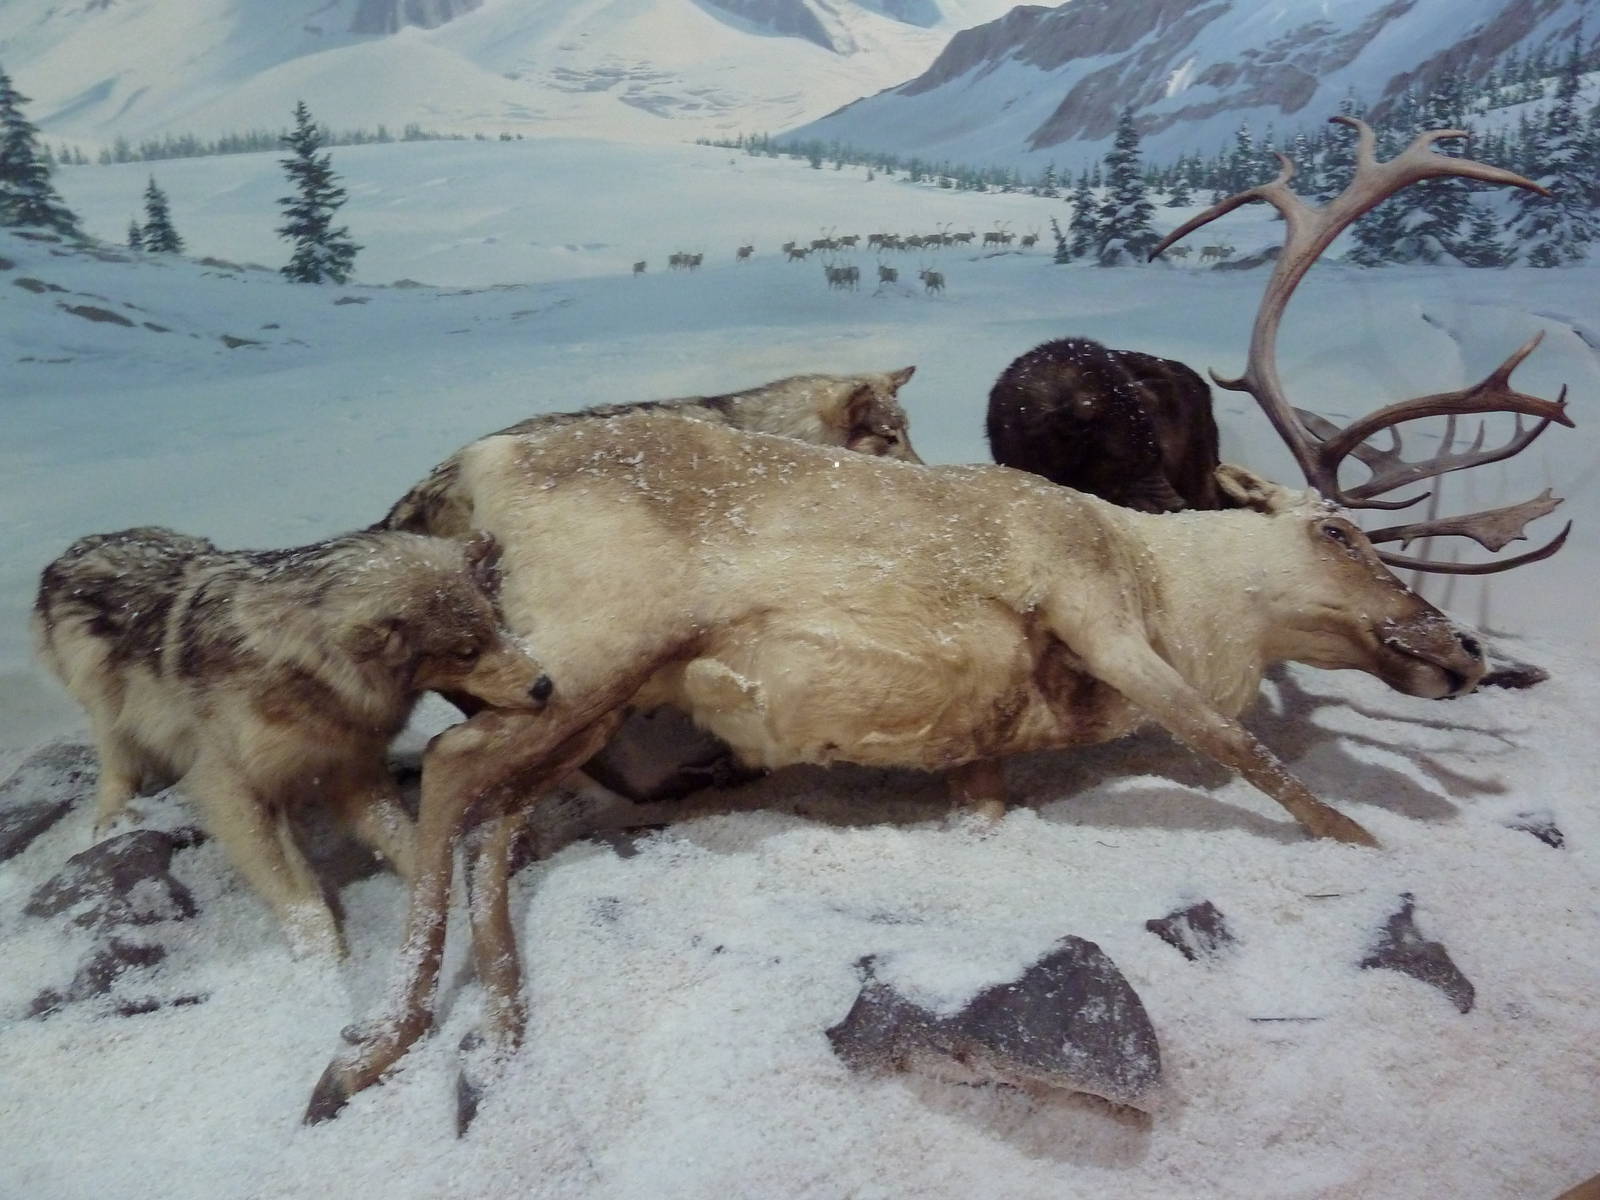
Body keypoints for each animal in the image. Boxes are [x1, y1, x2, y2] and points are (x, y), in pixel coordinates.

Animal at [33, 525, 553, 957]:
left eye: (498, 626)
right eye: (466, 653)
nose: (545, 685)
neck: (305, 669)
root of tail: (73, 549)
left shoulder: (354, 772)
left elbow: (408, 843)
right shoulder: (233, 791)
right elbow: (301, 901)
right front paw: (324, 972)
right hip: (106, 709)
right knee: (115, 763)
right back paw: (111, 821)